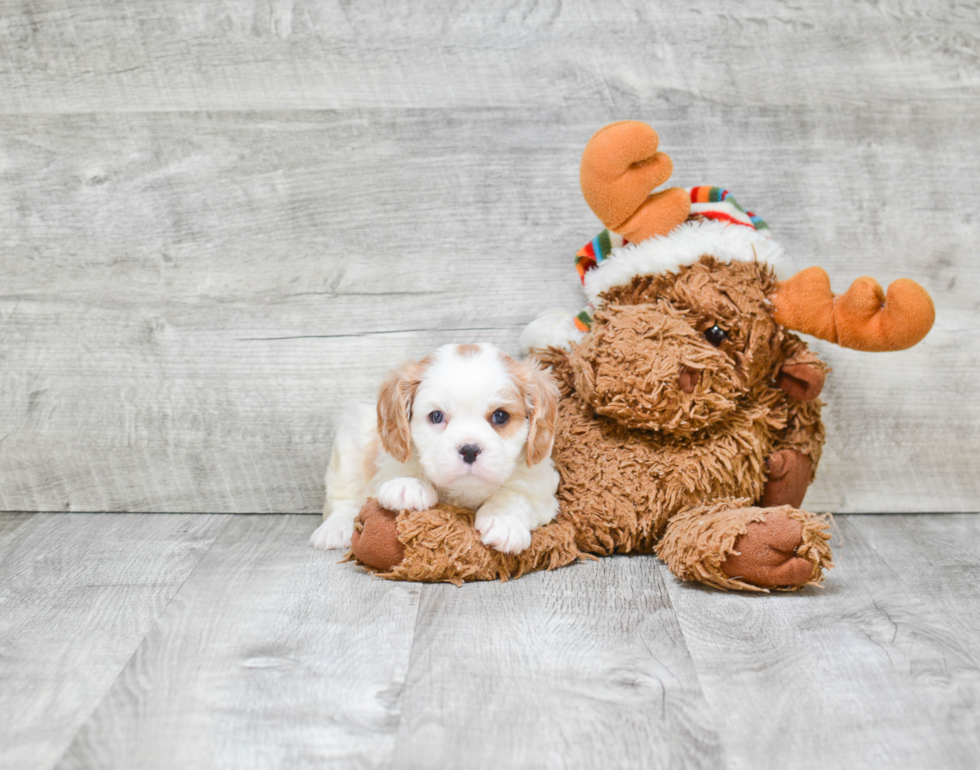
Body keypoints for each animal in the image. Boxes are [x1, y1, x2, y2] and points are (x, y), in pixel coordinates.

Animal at [310, 342, 564, 552]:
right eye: (436, 416)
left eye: (500, 416)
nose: (469, 450)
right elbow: (403, 468)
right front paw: (407, 486)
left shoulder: (541, 486)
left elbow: (518, 494)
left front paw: (504, 520)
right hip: (351, 439)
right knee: (343, 498)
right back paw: (334, 529)